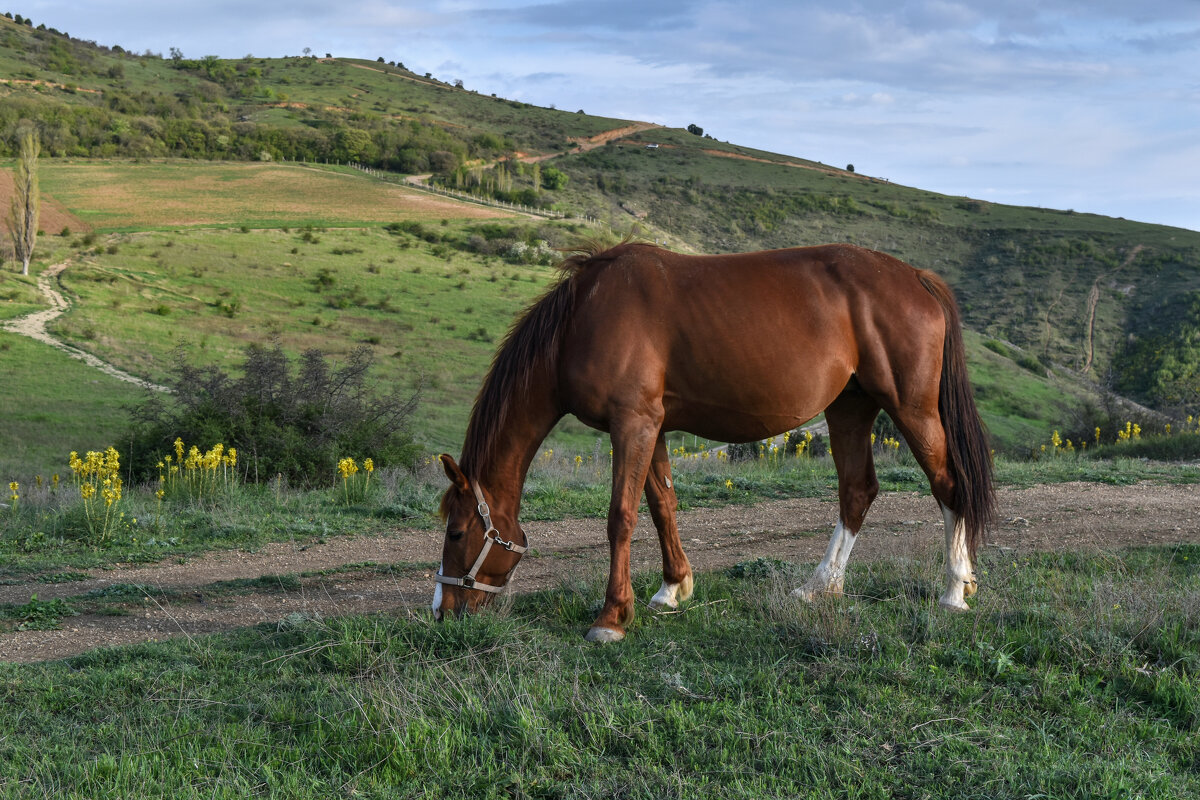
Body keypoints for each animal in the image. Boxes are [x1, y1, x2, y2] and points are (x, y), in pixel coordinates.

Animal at [432, 239, 993, 642]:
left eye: (457, 533)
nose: (443, 610)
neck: (581, 318)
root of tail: (916, 278)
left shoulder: (633, 423)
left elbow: (621, 516)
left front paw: (612, 617)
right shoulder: (652, 426)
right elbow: (662, 504)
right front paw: (672, 588)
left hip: (910, 408)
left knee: (948, 485)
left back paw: (954, 590)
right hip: (850, 407)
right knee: (858, 491)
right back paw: (820, 588)